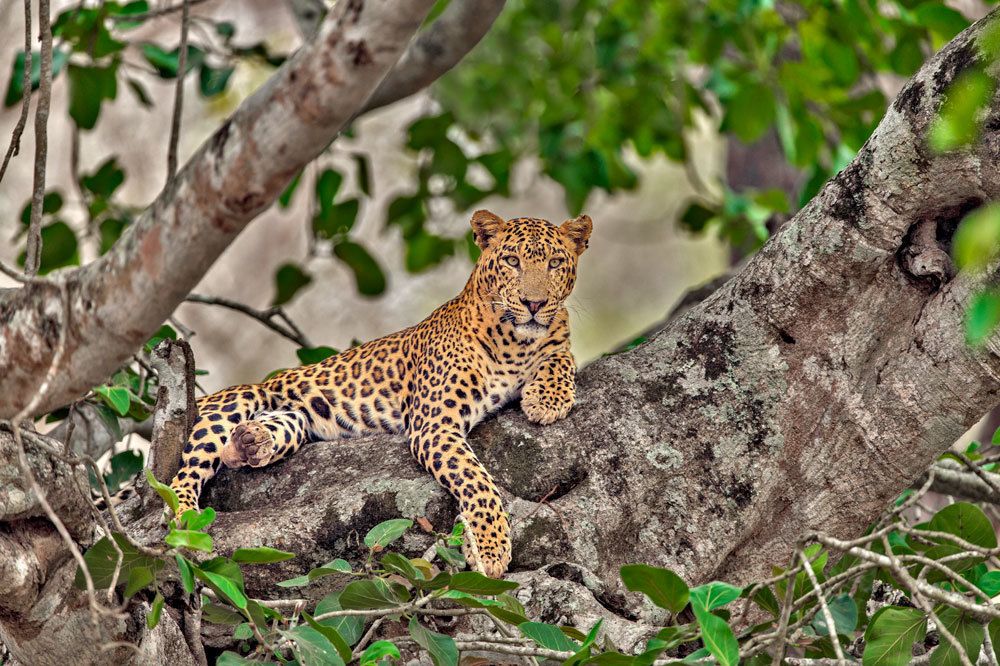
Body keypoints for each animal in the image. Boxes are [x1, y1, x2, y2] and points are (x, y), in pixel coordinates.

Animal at [168, 210, 593, 577]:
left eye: (555, 263)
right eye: (511, 261)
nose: (534, 303)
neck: (515, 344)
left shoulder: (557, 340)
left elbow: (562, 356)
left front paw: (547, 400)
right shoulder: (436, 425)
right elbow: (477, 481)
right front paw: (490, 547)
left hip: (297, 417)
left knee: (269, 433)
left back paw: (249, 443)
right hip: (236, 400)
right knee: (182, 476)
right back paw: (185, 517)